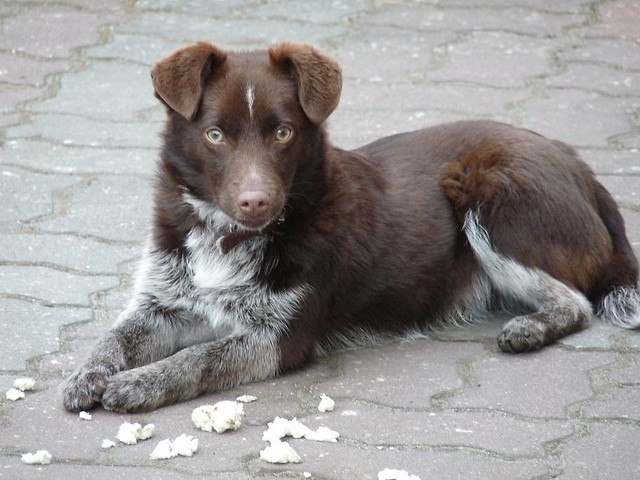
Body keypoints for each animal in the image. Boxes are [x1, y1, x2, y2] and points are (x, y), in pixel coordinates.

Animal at [61, 41, 640, 412]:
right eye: (215, 134)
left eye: (283, 133)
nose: (255, 200)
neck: (227, 236)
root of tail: (576, 161)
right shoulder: (161, 303)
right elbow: (113, 338)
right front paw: (87, 374)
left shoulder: (277, 337)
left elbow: (197, 358)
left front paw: (140, 383)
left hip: (488, 194)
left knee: (576, 302)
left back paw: (530, 328)